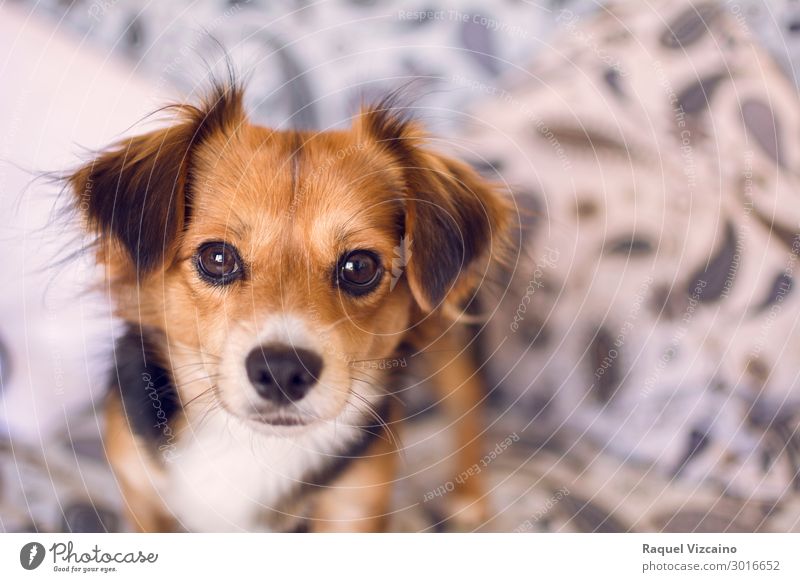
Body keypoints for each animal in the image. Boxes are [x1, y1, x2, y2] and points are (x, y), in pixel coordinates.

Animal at [67, 78, 506, 532]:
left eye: (360, 266)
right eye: (217, 257)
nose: (281, 371)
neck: (250, 443)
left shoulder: (354, 507)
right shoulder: (138, 488)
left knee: (468, 395)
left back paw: (469, 495)